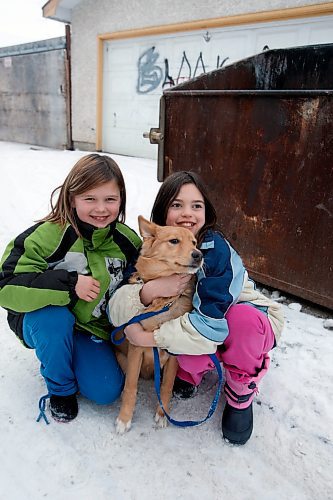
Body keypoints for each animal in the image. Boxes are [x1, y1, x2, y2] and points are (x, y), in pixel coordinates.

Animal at [114, 215, 202, 434]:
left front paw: (163, 414)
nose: (199, 255)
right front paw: (124, 419)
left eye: (194, 243)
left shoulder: (174, 354)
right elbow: (131, 387)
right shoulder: (135, 349)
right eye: (174, 241)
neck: (164, 301)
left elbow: (166, 386)